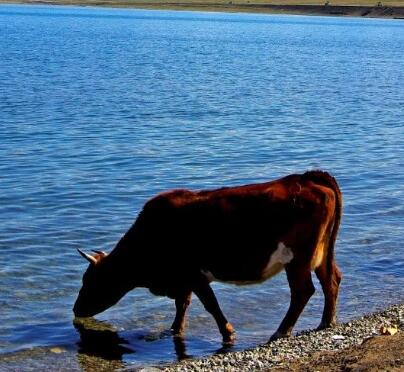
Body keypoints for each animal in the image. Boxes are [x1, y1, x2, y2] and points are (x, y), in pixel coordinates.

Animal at [74, 170, 342, 344]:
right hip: (321, 253)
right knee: (331, 279)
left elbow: (210, 305)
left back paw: (281, 332)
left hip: (298, 259)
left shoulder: (193, 274)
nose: (76, 309)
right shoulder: (183, 278)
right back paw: (326, 322)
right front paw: (175, 329)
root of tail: (306, 177)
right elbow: (182, 304)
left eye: (89, 280)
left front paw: (228, 332)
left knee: (303, 291)